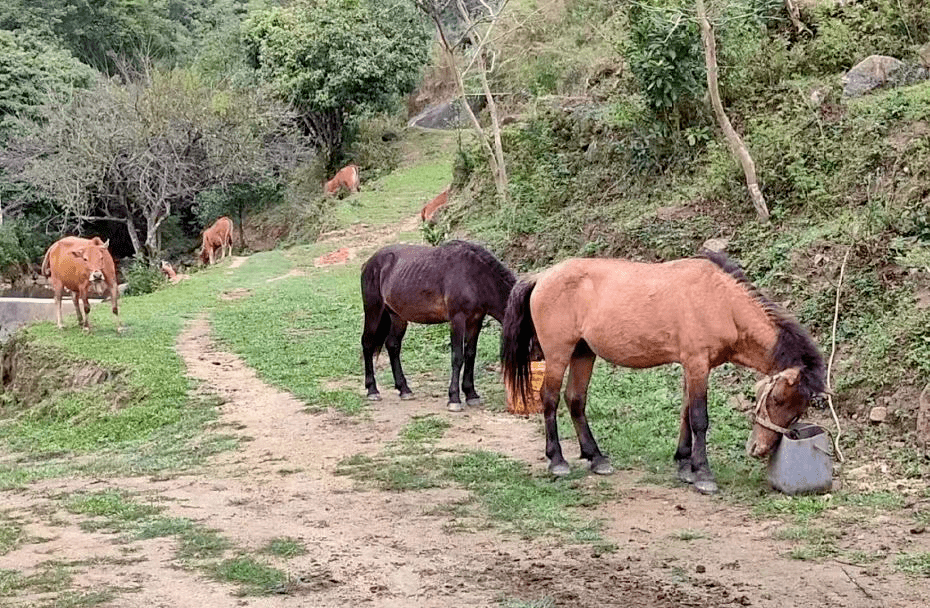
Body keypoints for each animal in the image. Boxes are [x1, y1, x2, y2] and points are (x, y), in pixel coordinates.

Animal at [358, 240, 516, 410]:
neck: (475, 276)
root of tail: (369, 262)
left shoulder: (476, 321)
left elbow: (470, 354)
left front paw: (471, 394)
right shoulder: (457, 319)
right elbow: (457, 357)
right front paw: (454, 399)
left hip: (397, 317)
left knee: (393, 345)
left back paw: (404, 389)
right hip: (373, 311)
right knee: (367, 344)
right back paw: (372, 390)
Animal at [500, 252, 828, 494]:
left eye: (798, 410)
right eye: (778, 400)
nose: (759, 449)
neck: (721, 301)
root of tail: (542, 276)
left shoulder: (693, 367)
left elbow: (685, 414)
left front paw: (684, 465)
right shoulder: (696, 364)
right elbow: (699, 418)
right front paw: (703, 474)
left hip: (583, 352)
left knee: (575, 400)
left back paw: (596, 457)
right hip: (558, 354)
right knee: (550, 399)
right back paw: (557, 460)